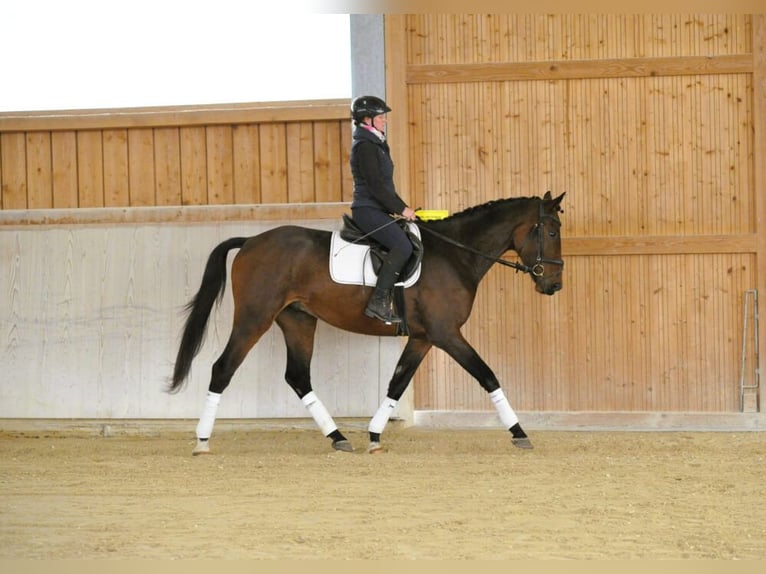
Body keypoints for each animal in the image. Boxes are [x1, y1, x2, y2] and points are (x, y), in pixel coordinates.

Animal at [169, 191, 565, 455]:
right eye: (550, 232)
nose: (553, 285)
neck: (455, 255)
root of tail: (251, 240)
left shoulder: (422, 338)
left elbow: (397, 384)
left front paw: (374, 435)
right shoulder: (446, 334)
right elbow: (487, 375)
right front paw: (519, 431)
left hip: (298, 321)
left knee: (298, 377)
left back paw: (338, 438)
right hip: (254, 318)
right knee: (223, 369)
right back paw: (202, 440)